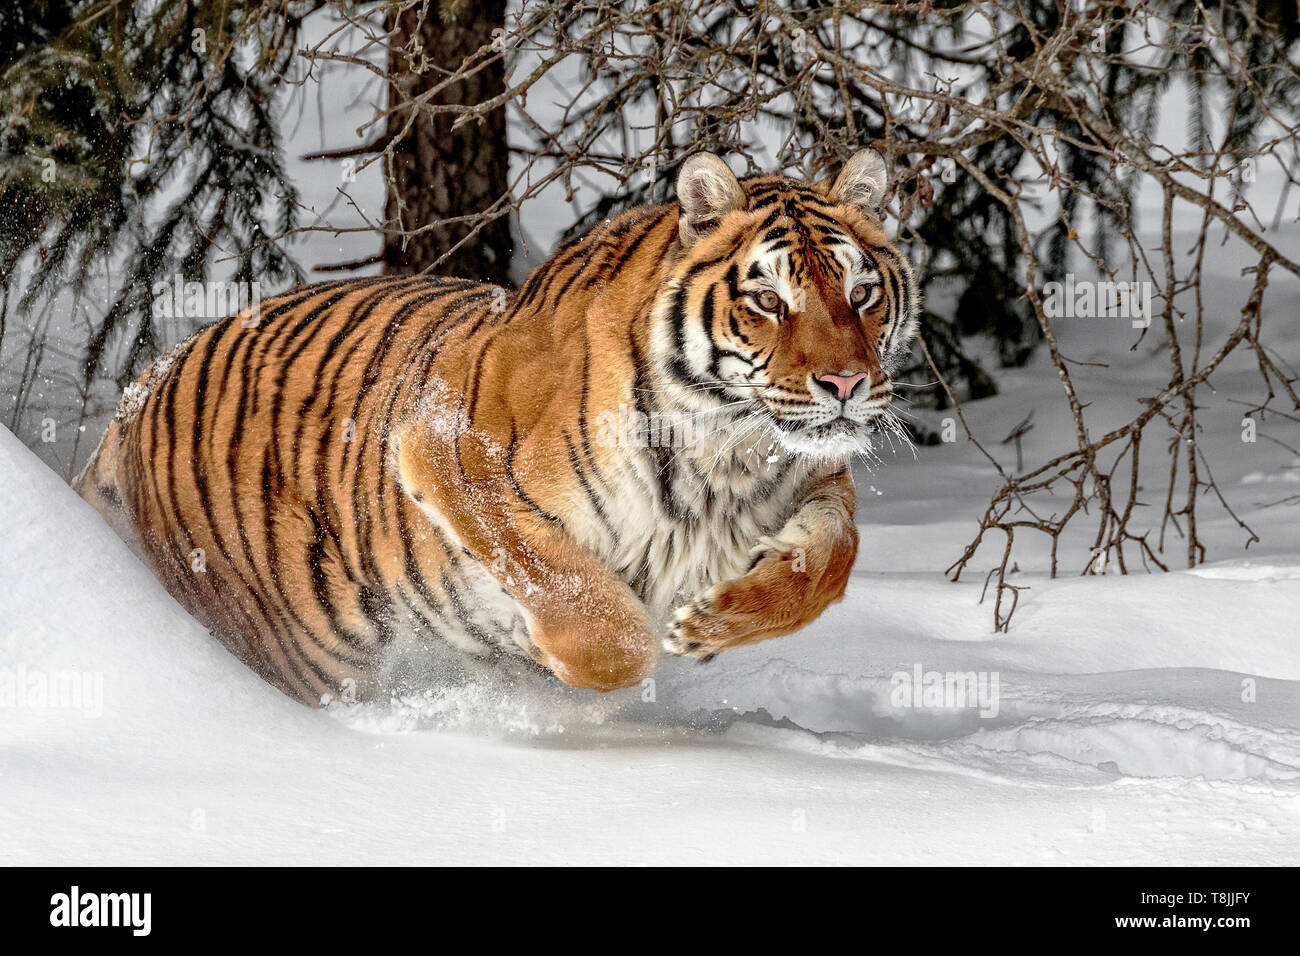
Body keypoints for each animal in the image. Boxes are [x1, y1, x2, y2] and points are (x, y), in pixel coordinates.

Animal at [74, 148, 920, 706]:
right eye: (770, 300)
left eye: (862, 293)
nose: (846, 384)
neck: (732, 451)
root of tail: (141, 387)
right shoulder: (449, 449)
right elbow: (585, 601)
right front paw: (572, 656)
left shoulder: (815, 477)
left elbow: (833, 558)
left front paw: (715, 620)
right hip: (298, 642)